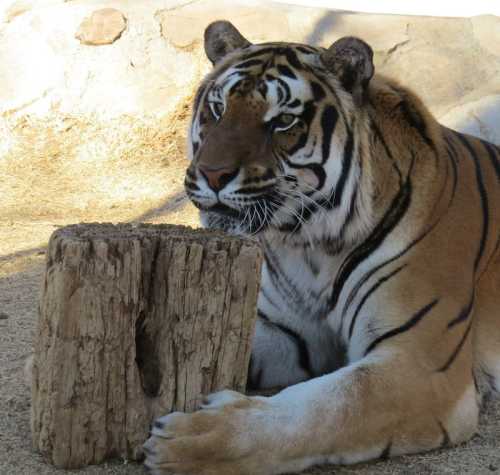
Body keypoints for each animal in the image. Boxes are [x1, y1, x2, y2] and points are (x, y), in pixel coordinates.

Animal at [143, 19, 498, 475]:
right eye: (218, 110)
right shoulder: (287, 332)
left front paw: (195, 438)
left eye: (282, 121)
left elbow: (328, 407)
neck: (309, 244)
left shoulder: (419, 362)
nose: (212, 173)